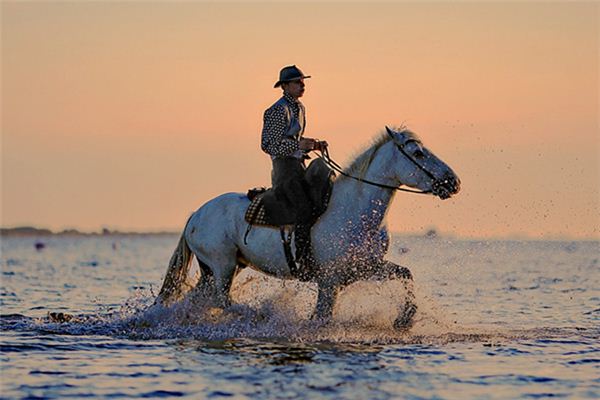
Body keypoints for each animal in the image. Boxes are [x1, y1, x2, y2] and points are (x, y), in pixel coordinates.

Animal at [155, 126, 460, 330]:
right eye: (418, 152)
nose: (453, 181)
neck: (355, 212)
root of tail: (196, 214)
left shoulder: (364, 267)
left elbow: (405, 274)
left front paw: (404, 319)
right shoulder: (329, 280)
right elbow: (323, 317)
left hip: (219, 268)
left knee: (200, 299)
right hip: (223, 265)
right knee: (222, 301)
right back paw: (260, 314)